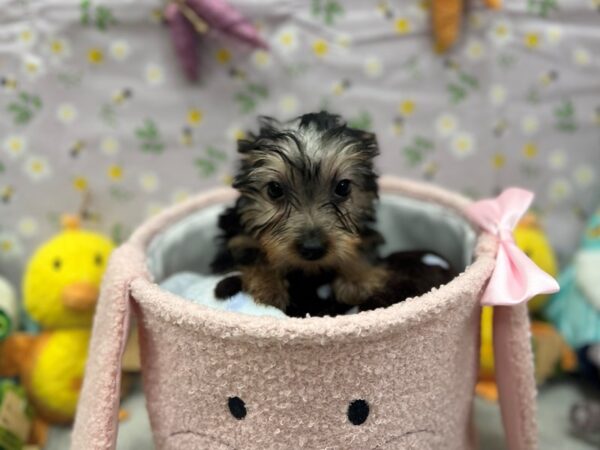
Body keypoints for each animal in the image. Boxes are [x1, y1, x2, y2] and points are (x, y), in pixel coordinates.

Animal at [211, 111, 390, 314]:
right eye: (274, 189)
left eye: (343, 187)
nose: (312, 249)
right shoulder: (237, 237)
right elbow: (250, 252)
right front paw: (268, 287)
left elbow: (363, 246)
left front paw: (358, 279)